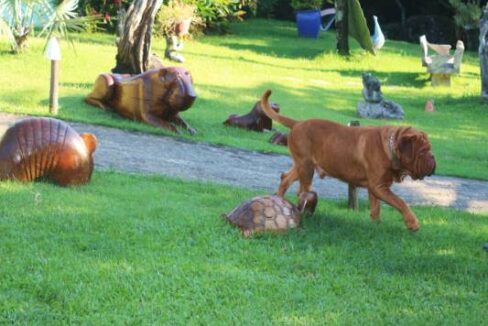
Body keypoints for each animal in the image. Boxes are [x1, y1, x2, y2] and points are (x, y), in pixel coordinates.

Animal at [262, 90, 436, 230]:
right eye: (422, 151)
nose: (434, 160)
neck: (390, 147)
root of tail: (297, 123)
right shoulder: (379, 186)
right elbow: (400, 202)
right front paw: (413, 223)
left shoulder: (375, 187)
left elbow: (376, 207)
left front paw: (376, 225)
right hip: (306, 167)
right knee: (302, 191)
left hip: (302, 165)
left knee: (285, 178)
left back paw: (279, 200)